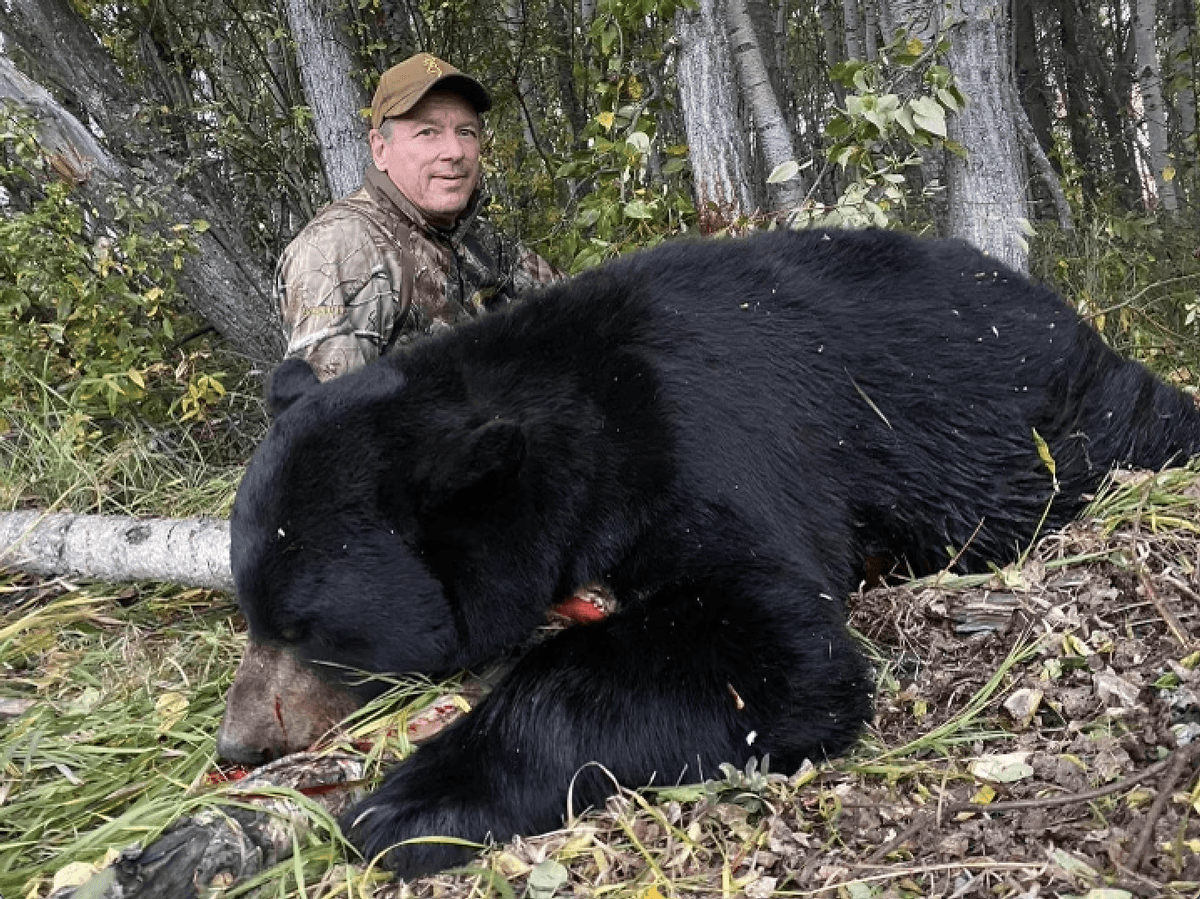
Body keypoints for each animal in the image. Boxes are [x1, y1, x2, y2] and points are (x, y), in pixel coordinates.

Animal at [218, 227, 1200, 877]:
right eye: (250, 609)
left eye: (309, 626)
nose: (237, 742)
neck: (583, 425)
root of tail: (1046, 296)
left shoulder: (703, 441)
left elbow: (769, 643)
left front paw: (408, 799)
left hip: (1034, 414)